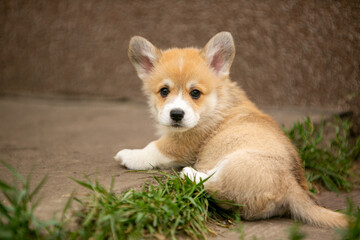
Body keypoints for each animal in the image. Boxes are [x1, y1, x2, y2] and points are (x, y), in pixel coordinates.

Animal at [114, 31, 346, 229]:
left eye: (195, 93)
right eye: (164, 91)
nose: (176, 114)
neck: (216, 103)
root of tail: (292, 187)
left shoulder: (182, 143)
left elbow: (154, 148)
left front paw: (130, 155)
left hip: (238, 162)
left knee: (215, 186)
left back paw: (190, 173)